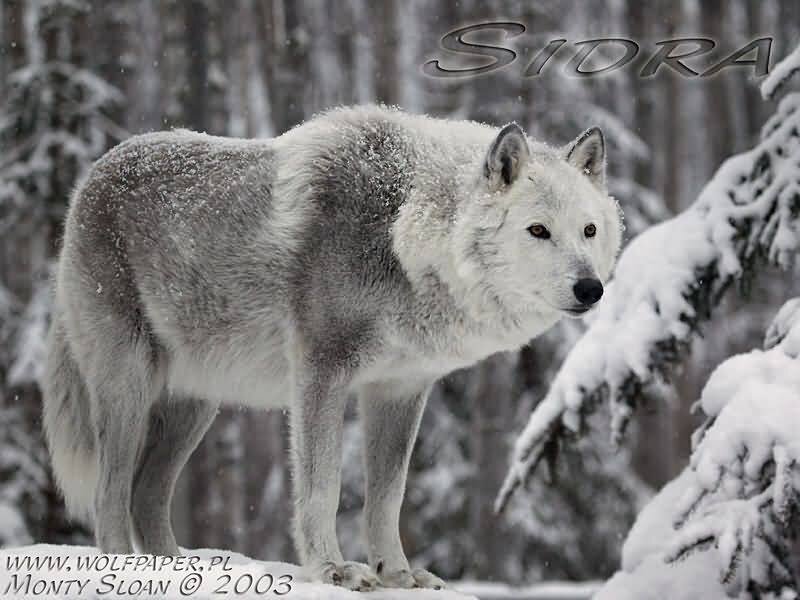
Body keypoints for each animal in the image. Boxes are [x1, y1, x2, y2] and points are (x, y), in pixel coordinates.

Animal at [42, 105, 622, 590]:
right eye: (538, 231)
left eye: (589, 230)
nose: (591, 289)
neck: (402, 233)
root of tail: (91, 177)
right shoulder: (321, 373)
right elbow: (323, 488)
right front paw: (332, 569)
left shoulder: (399, 390)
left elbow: (387, 497)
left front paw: (398, 574)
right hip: (130, 390)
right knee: (111, 492)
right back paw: (124, 569)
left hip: (196, 407)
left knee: (145, 494)